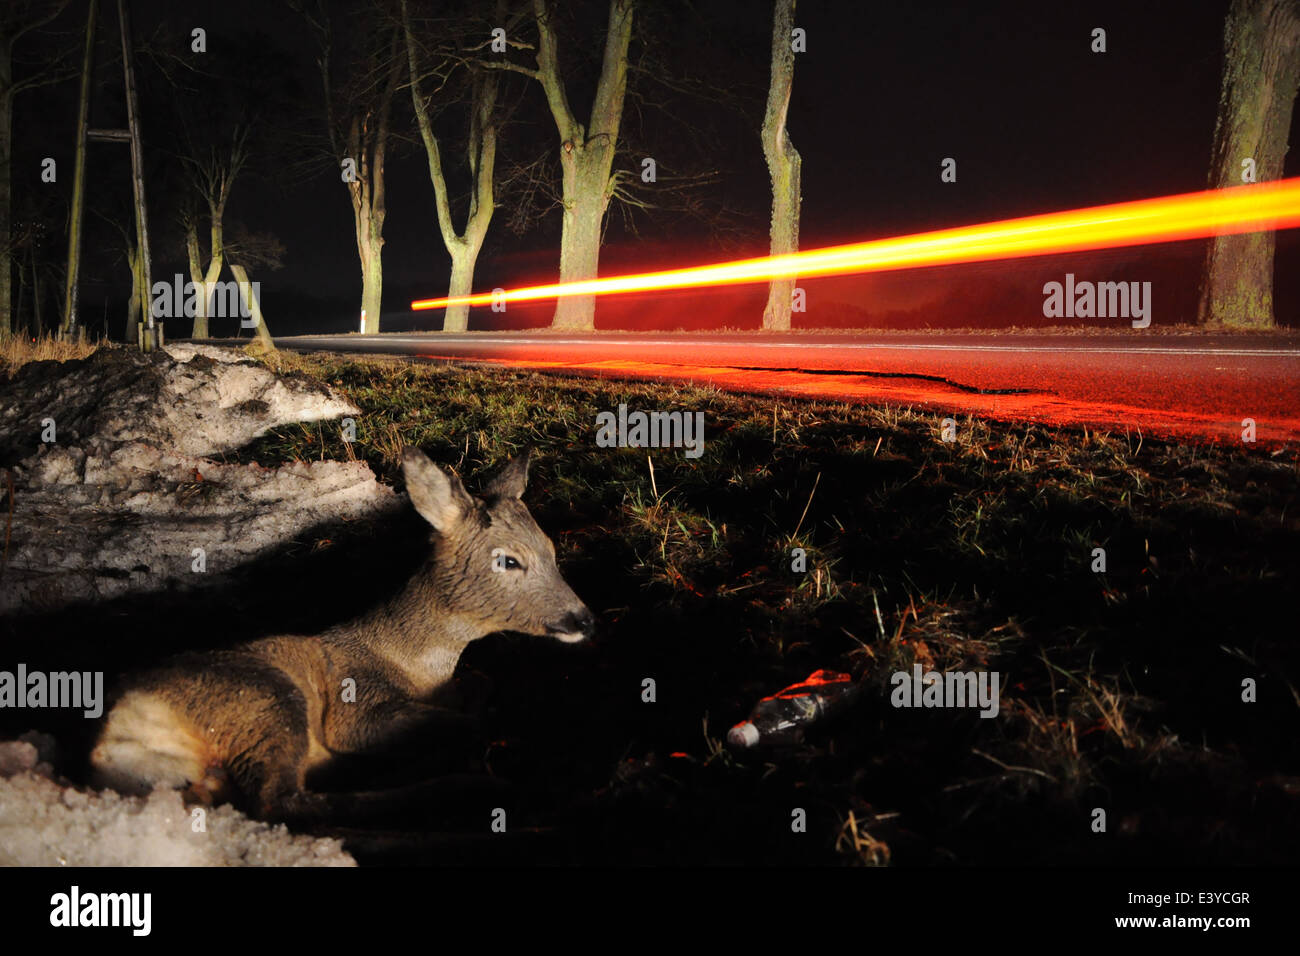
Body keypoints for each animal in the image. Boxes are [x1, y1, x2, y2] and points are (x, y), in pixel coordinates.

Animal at [89, 446, 595, 823]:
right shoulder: (355, 708)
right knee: (279, 802)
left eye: (552, 551)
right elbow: (465, 722)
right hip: (264, 700)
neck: (410, 663)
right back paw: (463, 788)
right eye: (509, 560)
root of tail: (116, 732)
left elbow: (480, 684)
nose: (583, 619)